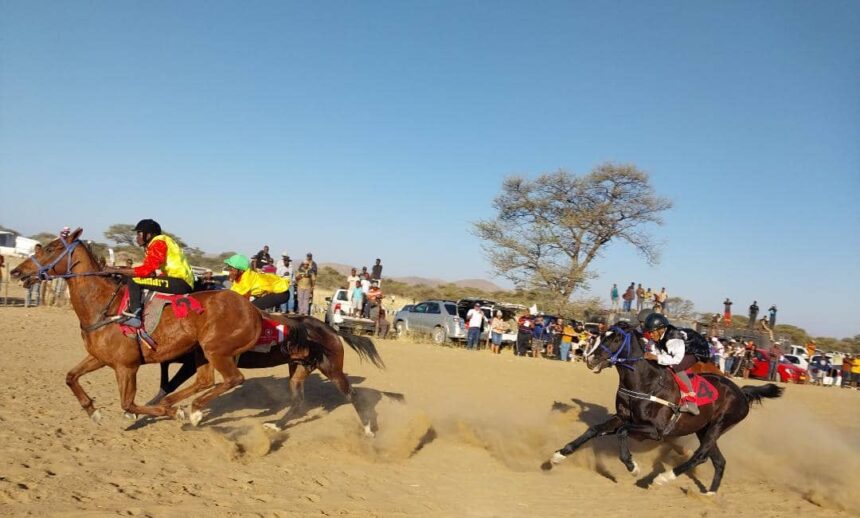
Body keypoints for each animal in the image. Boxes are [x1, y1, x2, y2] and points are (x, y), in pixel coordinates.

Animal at [10, 228, 263, 426]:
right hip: (201, 351)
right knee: (205, 381)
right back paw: (183, 406)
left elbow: (128, 404)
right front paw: (93, 411)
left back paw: (186, 408)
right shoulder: (99, 357)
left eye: (50, 249)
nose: (16, 271)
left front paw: (171, 413)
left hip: (216, 350)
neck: (104, 306)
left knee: (233, 379)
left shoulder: (127, 367)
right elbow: (71, 377)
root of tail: (254, 311)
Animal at [158, 314, 386, 436]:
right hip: (299, 368)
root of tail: (331, 330)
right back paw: (276, 425)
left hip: (332, 369)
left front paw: (190, 413)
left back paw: (368, 429)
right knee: (298, 401)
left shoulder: (200, 361)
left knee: (352, 395)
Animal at [541, 321, 782, 495]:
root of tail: (741, 392)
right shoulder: (622, 417)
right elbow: (594, 429)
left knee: (700, 455)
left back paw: (662, 478)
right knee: (717, 460)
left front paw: (633, 467)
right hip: (704, 429)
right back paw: (709, 494)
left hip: (719, 425)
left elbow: (622, 433)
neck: (644, 382)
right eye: (599, 336)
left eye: (616, 338)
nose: (590, 359)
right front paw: (558, 456)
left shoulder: (654, 431)